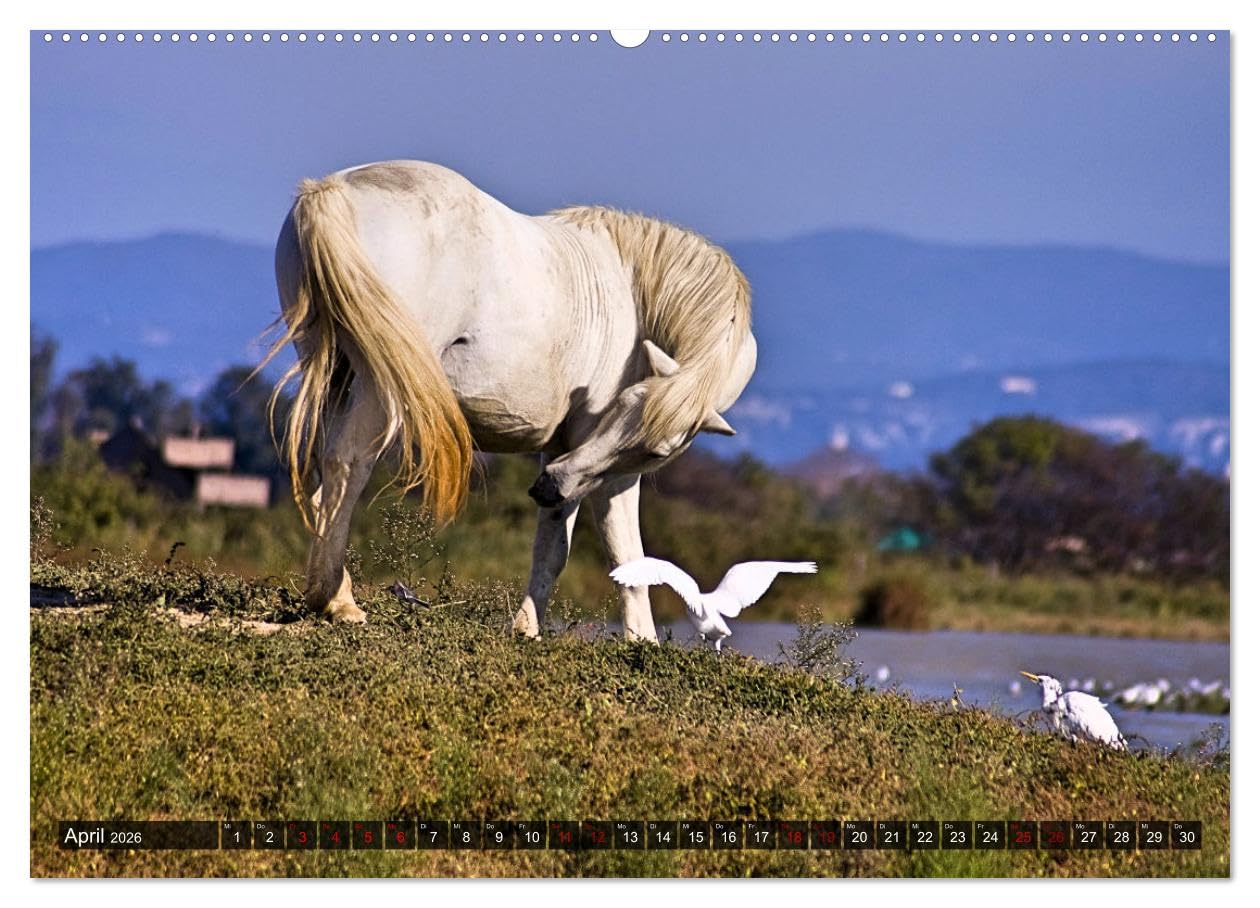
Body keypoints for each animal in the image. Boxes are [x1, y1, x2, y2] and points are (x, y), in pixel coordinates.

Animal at [263, 160, 756, 642]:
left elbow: (553, 550)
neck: (635, 293)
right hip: (379, 384)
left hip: (331, 373)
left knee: (323, 479)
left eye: (654, 448)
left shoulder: (564, 454)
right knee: (347, 464)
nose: (547, 486)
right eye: (622, 409)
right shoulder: (600, 465)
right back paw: (335, 601)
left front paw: (527, 628)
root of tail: (332, 190)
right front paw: (642, 640)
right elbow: (624, 554)